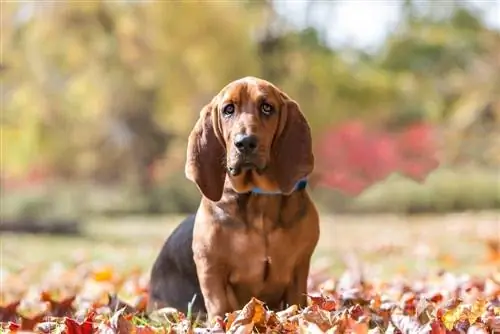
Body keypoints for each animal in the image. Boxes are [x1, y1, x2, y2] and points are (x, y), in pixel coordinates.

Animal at [148, 77, 320, 322]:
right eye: (228, 109)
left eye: (267, 107)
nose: (245, 142)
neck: (258, 197)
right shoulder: (211, 268)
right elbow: (220, 306)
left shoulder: (299, 268)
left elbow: (296, 303)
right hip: (166, 311)